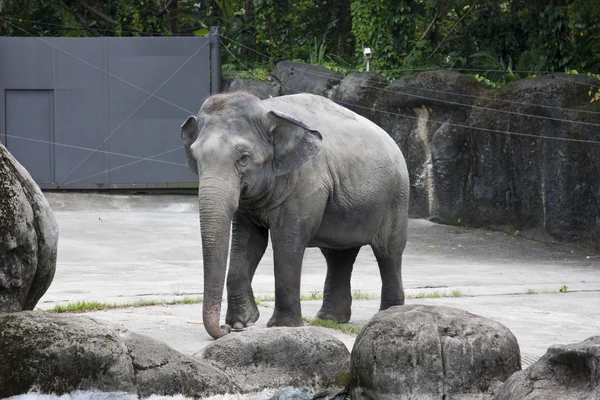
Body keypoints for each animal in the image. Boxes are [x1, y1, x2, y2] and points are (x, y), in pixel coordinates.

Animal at [180, 92, 410, 340]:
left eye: (243, 157)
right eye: (195, 157)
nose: (225, 330)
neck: (266, 109)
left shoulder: (305, 184)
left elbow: (287, 241)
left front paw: (283, 326)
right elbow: (249, 243)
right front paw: (243, 323)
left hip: (395, 198)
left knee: (388, 252)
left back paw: (388, 315)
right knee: (338, 255)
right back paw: (330, 319)